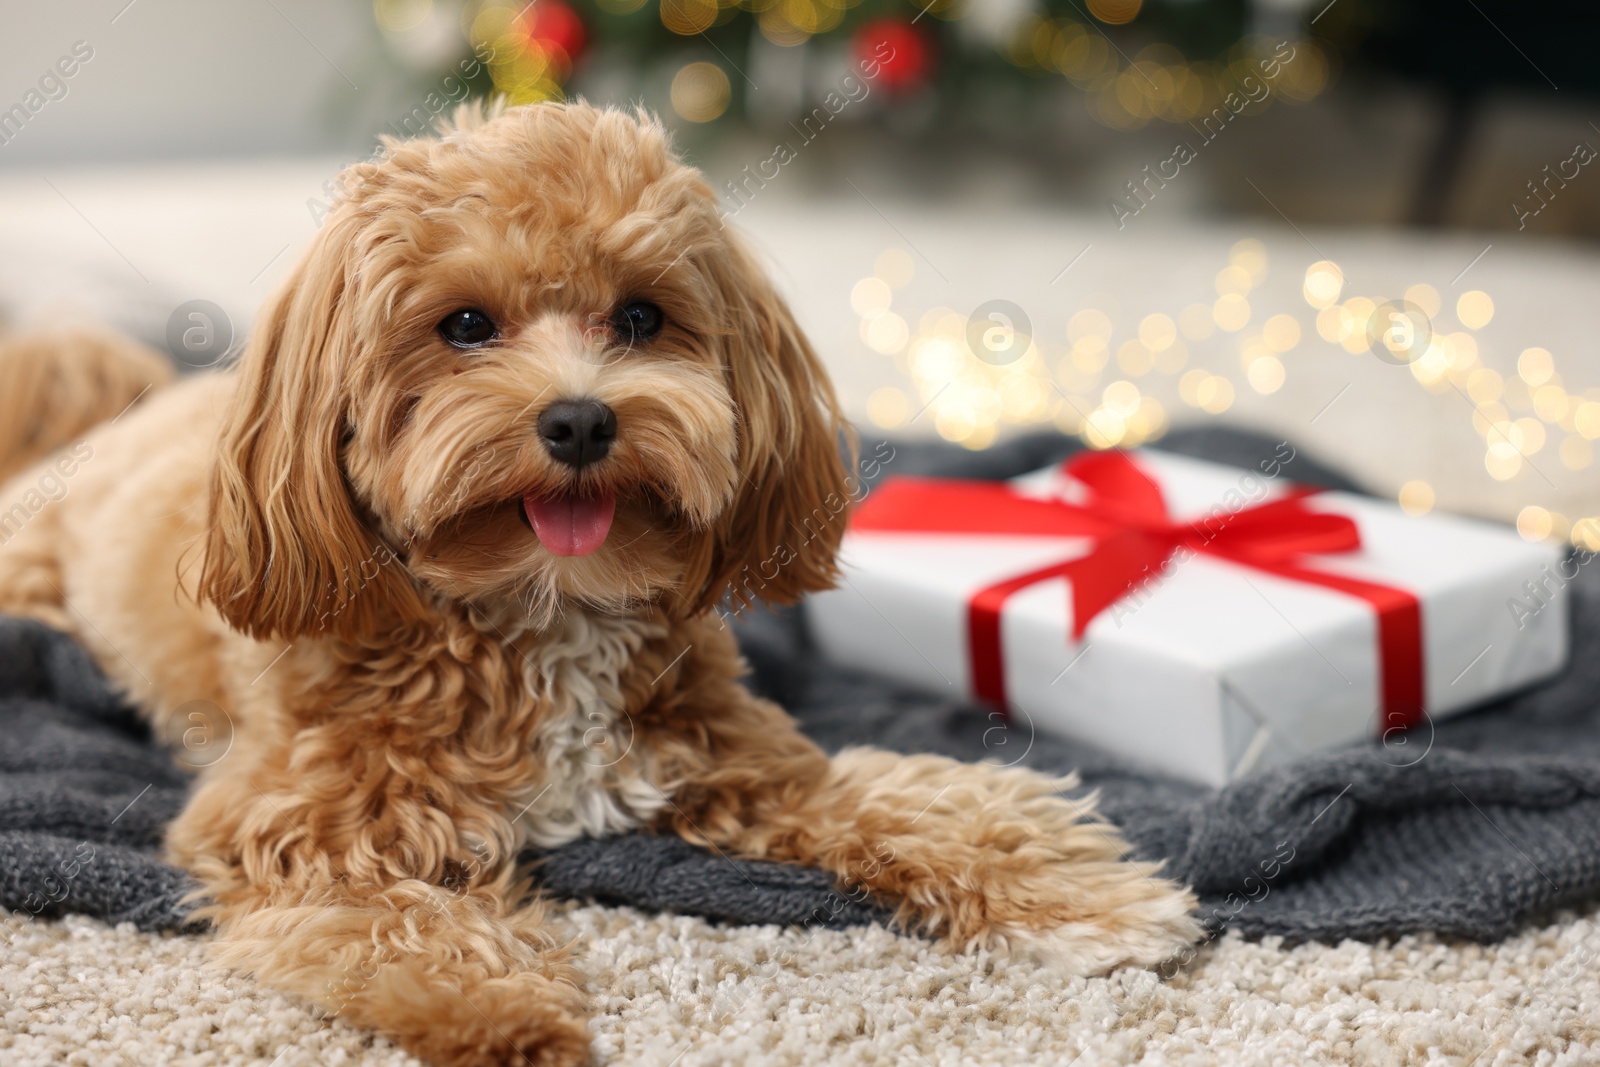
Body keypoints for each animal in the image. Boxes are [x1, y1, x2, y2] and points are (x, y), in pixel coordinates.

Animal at [0, 102, 1203, 1067]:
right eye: (465, 324)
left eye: (639, 317)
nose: (579, 419)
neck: (542, 615)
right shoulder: (296, 829)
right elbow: (401, 921)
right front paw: (499, 1014)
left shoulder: (754, 760)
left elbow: (917, 801)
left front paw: (1073, 896)